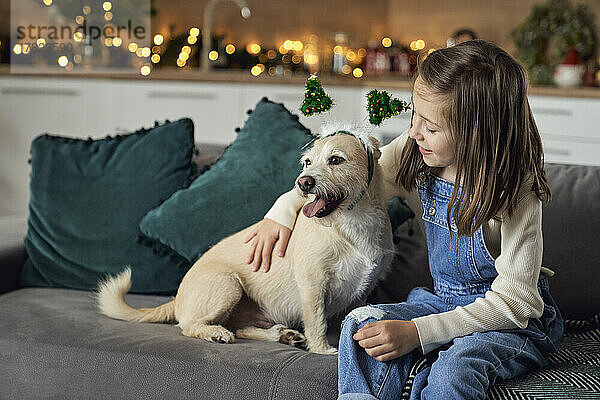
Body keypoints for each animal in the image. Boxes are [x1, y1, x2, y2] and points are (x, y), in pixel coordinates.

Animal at [97, 125, 398, 354]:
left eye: (336, 160)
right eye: (307, 163)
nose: (303, 182)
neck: (351, 223)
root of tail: (176, 298)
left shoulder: (364, 292)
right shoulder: (312, 283)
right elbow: (317, 321)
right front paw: (322, 350)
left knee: (239, 328)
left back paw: (282, 335)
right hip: (228, 285)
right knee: (189, 327)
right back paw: (217, 333)